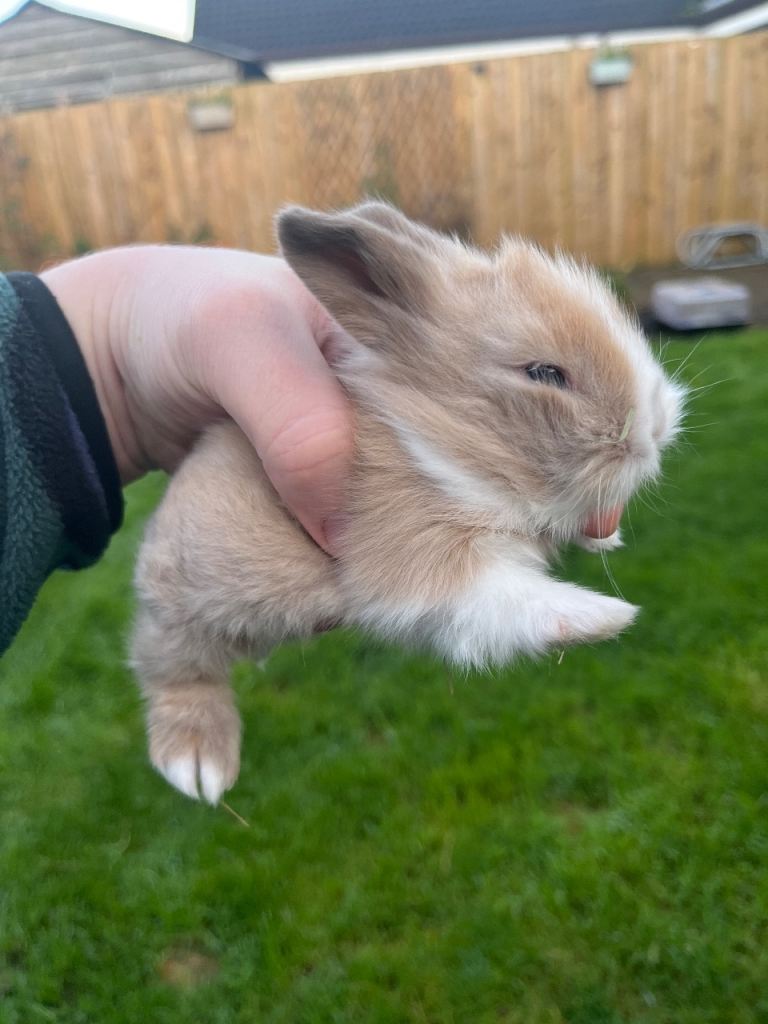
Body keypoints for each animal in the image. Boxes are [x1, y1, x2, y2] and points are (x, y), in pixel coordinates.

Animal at [130, 201, 685, 804]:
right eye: (544, 373)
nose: (658, 428)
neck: (434, 438)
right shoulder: (416, 554)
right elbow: (509, 599)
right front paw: (606, 616)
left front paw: (606, 539)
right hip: (187, 612)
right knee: (170, 668)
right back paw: (198, 767)